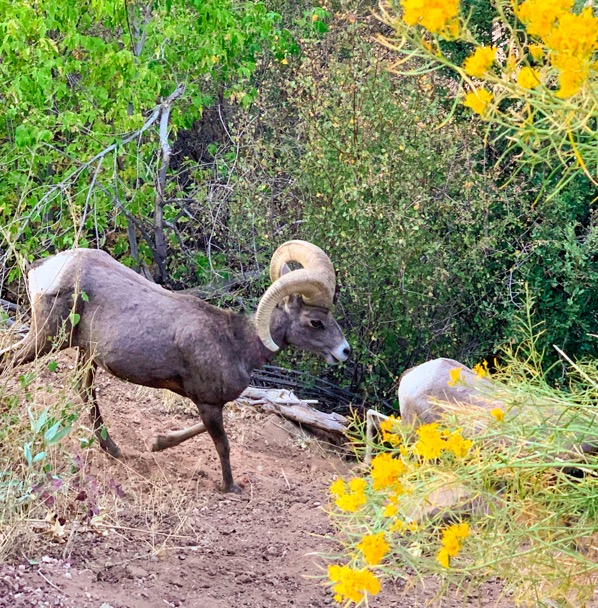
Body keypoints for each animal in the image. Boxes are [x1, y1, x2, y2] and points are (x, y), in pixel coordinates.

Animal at [1, 240, 352, 492]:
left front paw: (157, 443)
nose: (345, 352)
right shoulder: (208, 402)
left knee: (84, 391)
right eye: (316, 322)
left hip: (83, 354)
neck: (237, 344)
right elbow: (222, 444)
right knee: (10, 362)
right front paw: (230, 487)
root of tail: (44, 270)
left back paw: (113, 450)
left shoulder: (207, 402)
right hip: (46, 339)